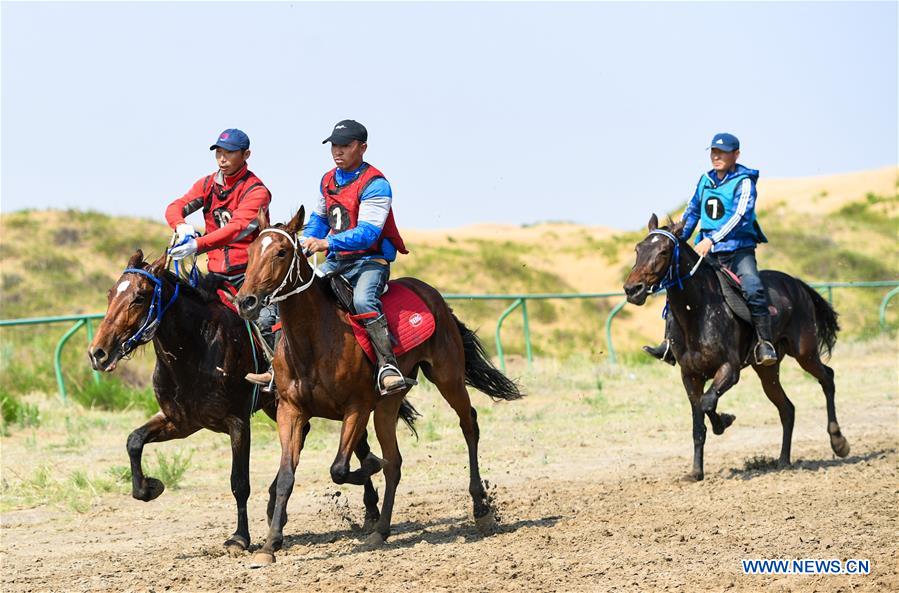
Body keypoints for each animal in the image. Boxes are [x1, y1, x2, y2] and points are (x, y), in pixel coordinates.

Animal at [84, 247, 380, 552]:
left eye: (140, 297)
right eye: (110, 293)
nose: (98, 353)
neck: (197, 347)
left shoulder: (237, 422)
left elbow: (240, 483)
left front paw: (240, 537)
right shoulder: (181, 421)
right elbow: (134, 441)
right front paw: (149, 487)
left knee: (358, 443)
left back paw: (371, 509)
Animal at [236, 207, 524, 564]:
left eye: (281, 252)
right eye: (250, 252)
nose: (246, 301)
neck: (314, 341)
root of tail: (433, 296)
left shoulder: (356, 407)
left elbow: (340, 468)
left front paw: (369, 466)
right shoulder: (291, 411)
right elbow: (287, 477)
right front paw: (270, 545)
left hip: (447, 376)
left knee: (468, 423)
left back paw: (480, 509)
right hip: (388, 404)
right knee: (395, 464)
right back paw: (381, 530)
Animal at [624, 216, 852, 480]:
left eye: (663, 251)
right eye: (638, 249)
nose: (632, 290)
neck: (698, 311)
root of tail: (796, 284)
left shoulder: (729, 370)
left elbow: (707, 403)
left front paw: (724, 421)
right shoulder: (690, 376)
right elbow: (698, 423)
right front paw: (696, 472)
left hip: (805, 353)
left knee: (828, 378)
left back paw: (839, 442)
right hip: (767, 370)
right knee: (787, 408)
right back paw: (783, 460)